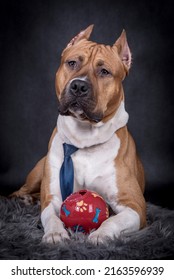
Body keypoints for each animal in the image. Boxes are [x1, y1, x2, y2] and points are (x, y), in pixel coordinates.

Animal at [11, 25, 146, 244]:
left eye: (104, 72)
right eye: (72, 63)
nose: (79, 86)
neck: (84, 139)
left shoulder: (135, 206)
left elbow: (113, 220)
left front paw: (101, 234)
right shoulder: (53, 199)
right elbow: (51, 217)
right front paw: (55, 233)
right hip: (37, 172)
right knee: (20, 190)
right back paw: (25, 198)